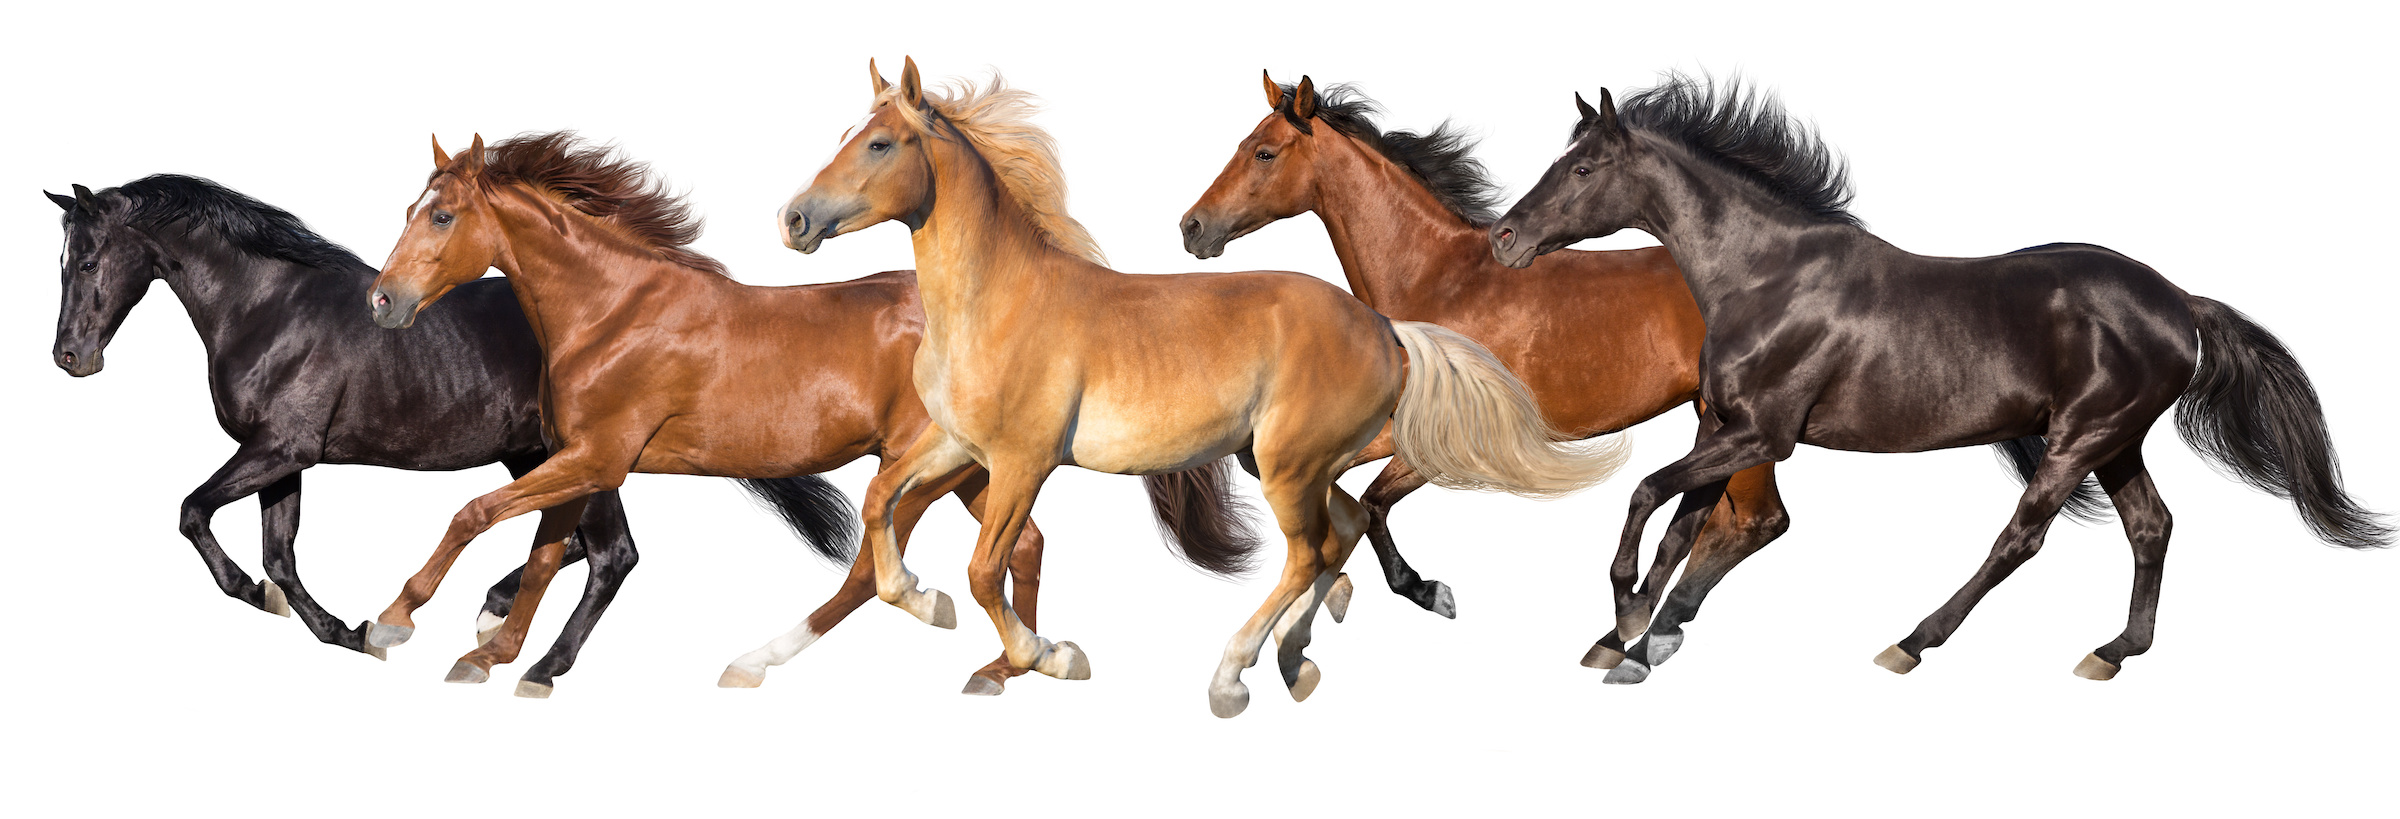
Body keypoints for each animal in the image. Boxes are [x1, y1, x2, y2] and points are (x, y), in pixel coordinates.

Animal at [42, 175, 849, 692]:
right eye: (61, 260)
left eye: (88, 259)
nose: (70, 358)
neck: (268, 307)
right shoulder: (285, 459)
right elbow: (281, 555)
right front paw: (348, 632)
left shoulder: (279, 449)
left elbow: (194, 512)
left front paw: (277, 601)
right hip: (545, 455)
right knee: (592, 549)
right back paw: (496, 625)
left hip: (573, 457)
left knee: (610, 554)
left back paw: (526, 659)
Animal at [360, 131, 1256, 697]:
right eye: (407, 209)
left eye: (441, 214)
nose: (382, 301)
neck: (613, 309)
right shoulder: (578, 457)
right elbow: (549, 552)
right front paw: (500, 656)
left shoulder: (599, 456)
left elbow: (479, 513)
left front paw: (399, 622)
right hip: (977, 468)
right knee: (1020, 545)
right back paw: (1016, 663)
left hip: (921, 466)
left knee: (872, 569)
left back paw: (762, 659)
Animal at [773, 58, 1628, 717]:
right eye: (844, 135)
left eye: (879, 142)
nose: (794, 219)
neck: (996, 299)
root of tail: (1387, 327)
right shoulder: (955, 443)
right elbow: (880, 502)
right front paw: (923, 599)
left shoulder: (1022, 461)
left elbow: (984, 569)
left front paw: (1050, 653)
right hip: (1296, 462)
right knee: (1345, 529)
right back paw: (1295, 661)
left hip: (1287, 465)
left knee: (1310, 550)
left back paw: (1234, 677)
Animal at [1487, 73, 2390, 683]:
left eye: (1582, 170)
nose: (1504, 240)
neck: (1768, 275)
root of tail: (2178, 301)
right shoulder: (1722, 427)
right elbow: (1681, 527)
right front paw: (1634, 643)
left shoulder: (1760, 434)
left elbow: (1646, 496)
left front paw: (1628, 621)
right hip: (2116, 441)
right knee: (2151, 526)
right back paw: (2111, 651)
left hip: (2082, 438)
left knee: (2022, 537)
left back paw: (1912, 641)